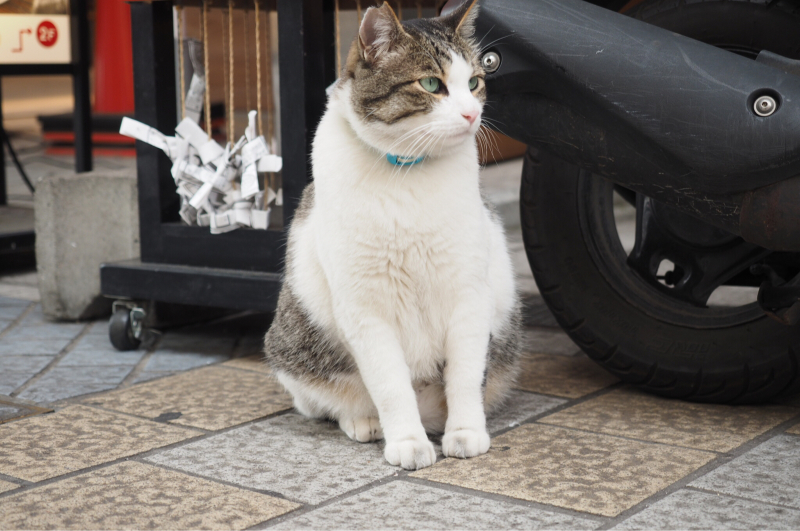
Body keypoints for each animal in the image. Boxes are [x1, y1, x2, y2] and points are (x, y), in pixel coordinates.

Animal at [266, 1, 520, 474]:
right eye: (431, 84)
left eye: (474, 82)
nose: (472, 115)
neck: (408, 174)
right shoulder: (365, 307)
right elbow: (389, 384)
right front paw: (407, 442)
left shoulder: (468, 293)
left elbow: (464, 377)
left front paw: (466, 433)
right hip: (295, 351)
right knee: (330, 400)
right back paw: (364, 421)